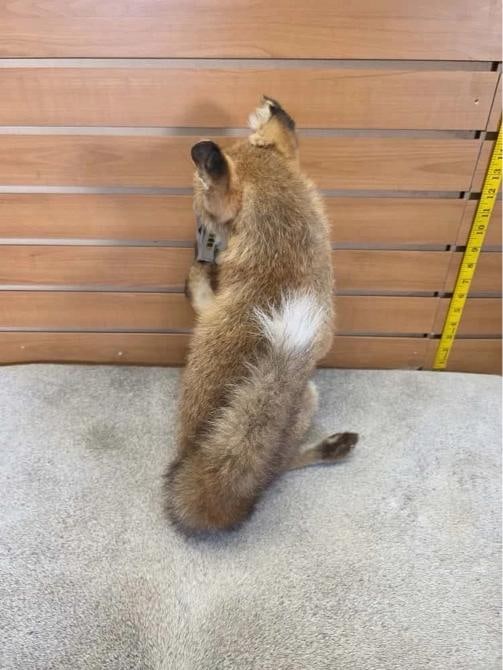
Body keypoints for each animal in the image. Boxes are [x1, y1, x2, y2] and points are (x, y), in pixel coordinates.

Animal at [164, 96, 358, 534]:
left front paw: (196, 277)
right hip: (309, 395)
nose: (198, 230)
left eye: (198, 196)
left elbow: (200, 299)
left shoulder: (209, 311)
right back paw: (330, 448)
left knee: (275, 470)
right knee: (273, 470)